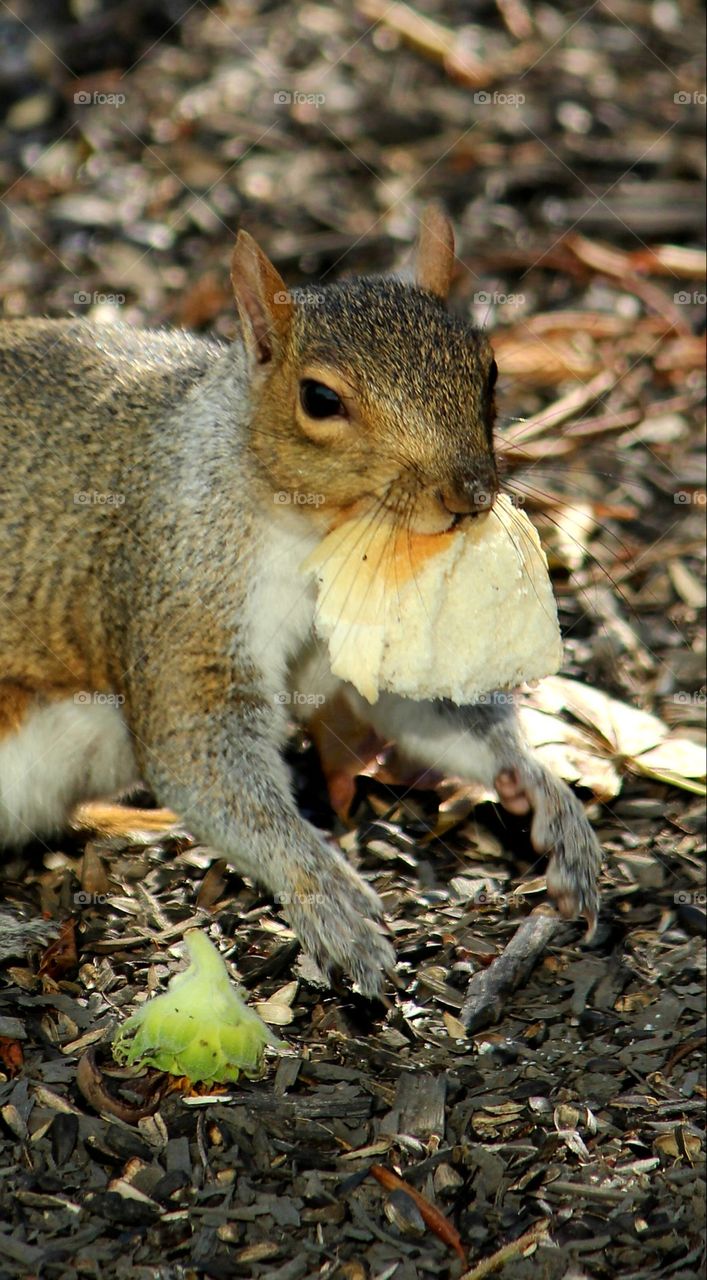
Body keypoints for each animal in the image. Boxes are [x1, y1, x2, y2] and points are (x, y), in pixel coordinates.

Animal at [0, 207, 601, 995]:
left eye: (490, 368)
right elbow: (201, 754)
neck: (314, 535)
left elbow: (419, 710)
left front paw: (542, 793)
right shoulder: (182, 587)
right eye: (320, 400)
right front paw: (326, 892)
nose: (468, 494)